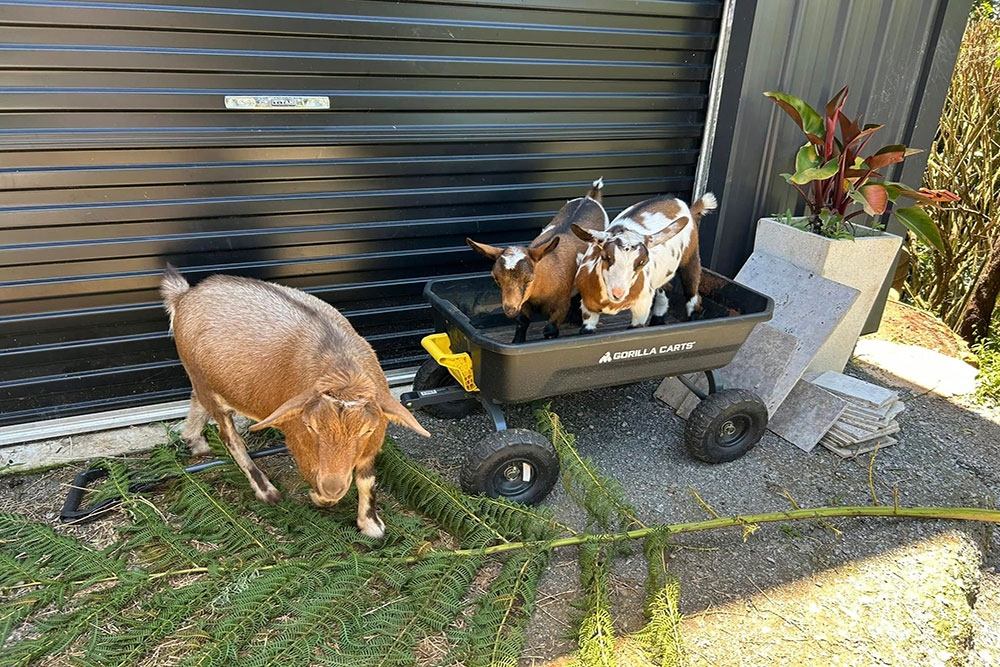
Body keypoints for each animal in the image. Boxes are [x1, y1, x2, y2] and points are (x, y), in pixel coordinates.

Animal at [160, 266, 430, 538]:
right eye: (311, 426)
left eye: (367, 429)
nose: (334, 486)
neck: (341, 366)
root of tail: (184, 295)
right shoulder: (299, 441)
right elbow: (318, 482)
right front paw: (319, 497)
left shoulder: (371, 445)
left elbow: (367, 481)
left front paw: (371, 524)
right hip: (203, 380)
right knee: (229, 437)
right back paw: (266, 490)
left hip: (203, 378)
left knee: (196, 398)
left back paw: (194, 442)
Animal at [466, 178, 608, 343]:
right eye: (496, 279)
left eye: (529, 279)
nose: (509, 309)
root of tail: (590, 198)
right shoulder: (524, 302)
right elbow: (522, 322)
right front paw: (517, 341)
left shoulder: (561, 306)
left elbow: (550, 329)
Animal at [572, 193, 717, 333]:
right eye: (605, 256)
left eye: (642, 262)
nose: (618, 293)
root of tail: (689, 209)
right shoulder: (588, 308)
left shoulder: (642, 307)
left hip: (691, 255)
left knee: (693, 295)